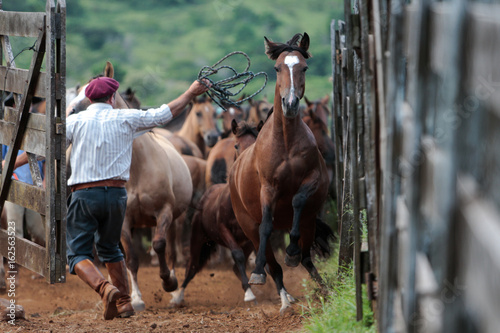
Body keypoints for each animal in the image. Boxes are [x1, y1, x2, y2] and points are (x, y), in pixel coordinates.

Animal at [170, 118, 260, 306]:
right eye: (236, 145)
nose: (245, 164)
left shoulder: (250, 236)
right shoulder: (223, 230)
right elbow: (238, 256)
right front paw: (249, 294)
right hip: (198, 238)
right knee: (192, 267)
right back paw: (178, 296)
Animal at [229, 32, 332, 312]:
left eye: (304, 67)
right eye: (277, 68)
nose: (291, 104)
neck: (285, 142)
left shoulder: (312, 178)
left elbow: (298, 198)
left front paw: (291, 252)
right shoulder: (268, 188)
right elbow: (266, 227)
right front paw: (257, 274)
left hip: (307, 223)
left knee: (306, 257)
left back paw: (320, 284)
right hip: (248, 226)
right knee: (271, 262)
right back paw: (284, 297)